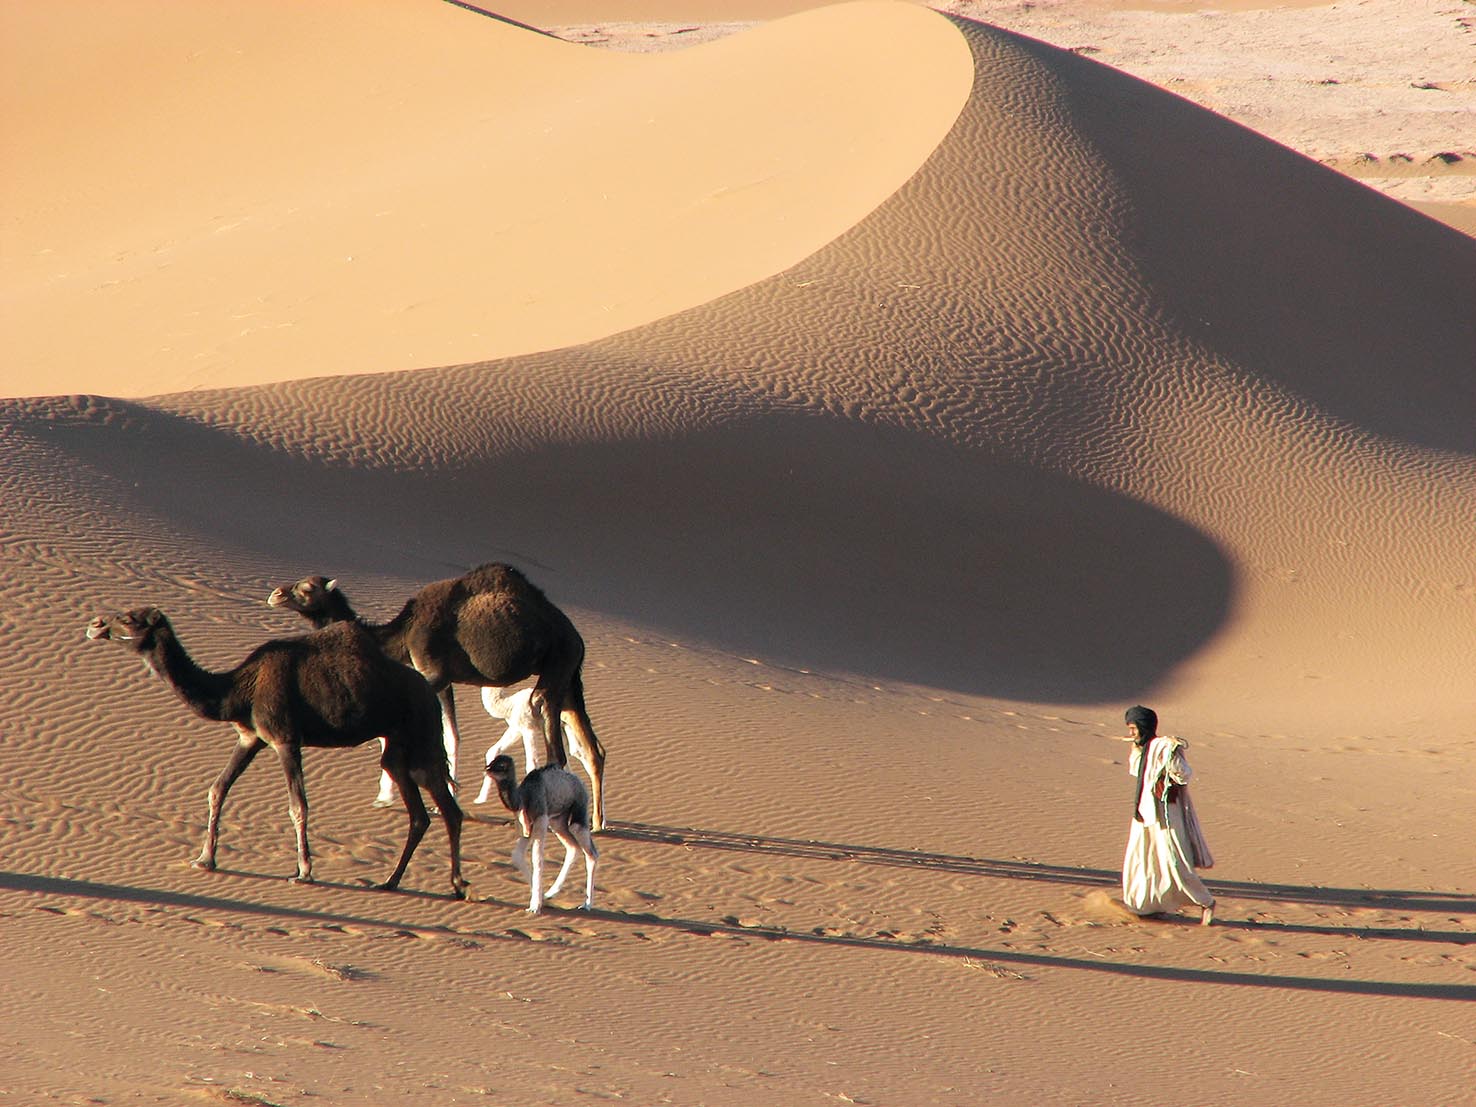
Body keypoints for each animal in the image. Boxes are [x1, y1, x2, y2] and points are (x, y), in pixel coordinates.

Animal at [265, 563, 605, 832]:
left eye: (307, 588)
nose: (276, 594)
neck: (402, 633)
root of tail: (575, 635)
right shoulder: (444, 679)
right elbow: (452, 735)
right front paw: (449, 794)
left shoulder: (432, 672)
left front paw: (387, 797)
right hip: (567, 672)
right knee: (591, 746)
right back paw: (598, 822)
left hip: (558, 659)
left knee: (547, 720)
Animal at [487, 755, 596, 921]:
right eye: (492, 762)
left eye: (500, 766)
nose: (486, 769)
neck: (524, 795)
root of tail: (580, 781)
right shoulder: (528, 826)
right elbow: (516, 856)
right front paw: (541, 898)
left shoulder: (540, 819)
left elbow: (537, 859)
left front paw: (534, 907)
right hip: (558, 821)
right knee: (573, 847)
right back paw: (552, 892)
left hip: (579, 810)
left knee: (590, 852)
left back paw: (587, 904)